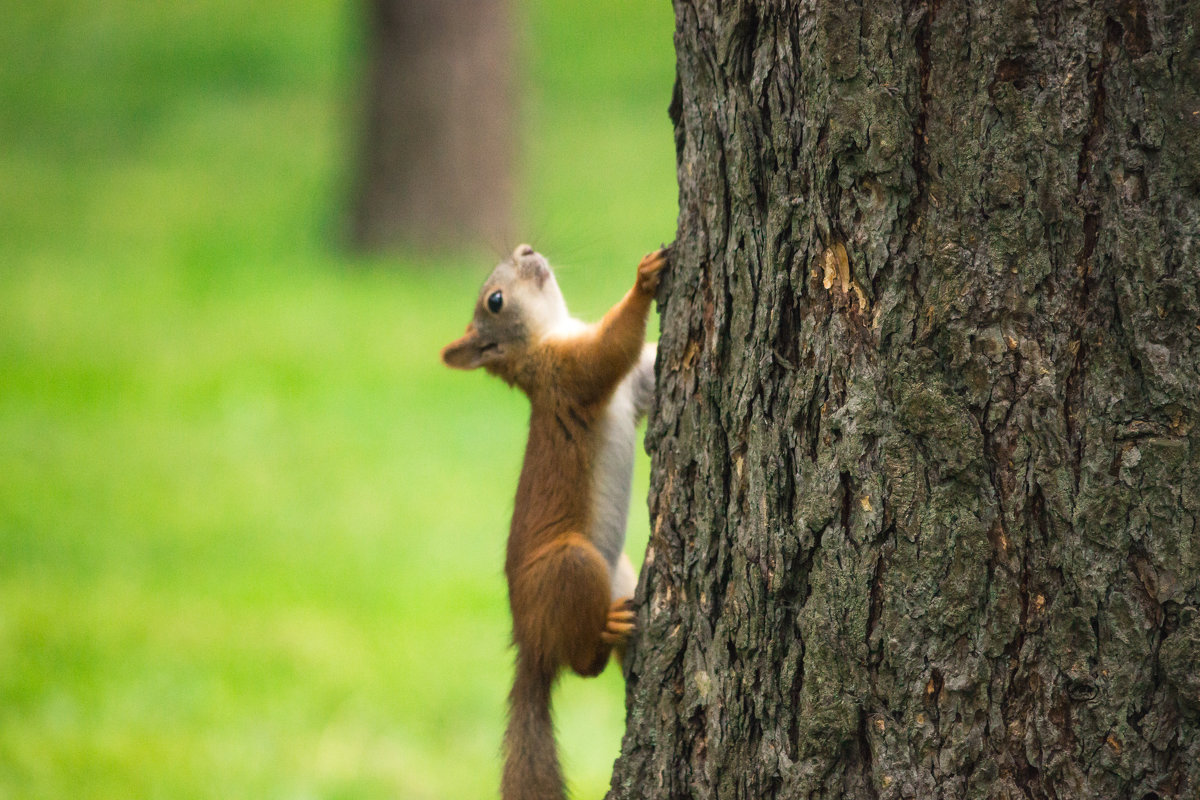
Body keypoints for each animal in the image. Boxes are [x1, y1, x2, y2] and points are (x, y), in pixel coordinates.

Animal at [444, 244, 672, 800]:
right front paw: (643, 280)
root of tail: (530, 642)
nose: (526, 249)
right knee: (582, 666)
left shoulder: (633, 385)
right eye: (495, 300)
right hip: (571, 565)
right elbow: (608, 352)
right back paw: (607, 633)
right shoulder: (566, 375)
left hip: (620, 571)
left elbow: (645, 364)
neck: (550, 335)